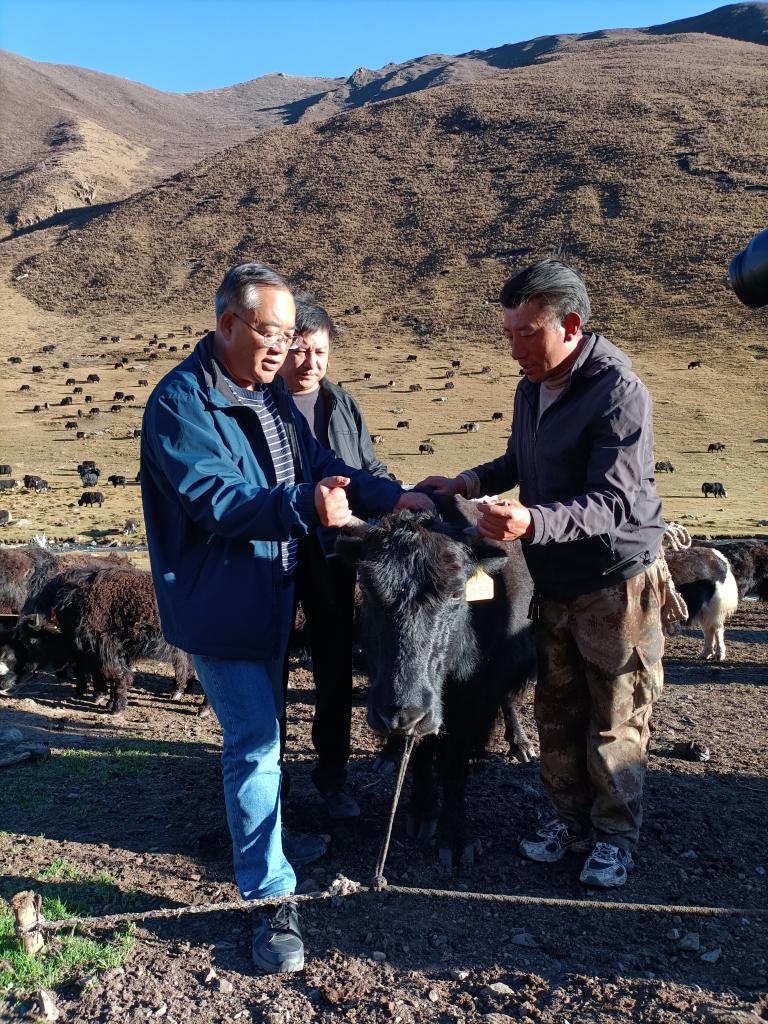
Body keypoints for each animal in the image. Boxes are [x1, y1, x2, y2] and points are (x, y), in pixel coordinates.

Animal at [337, 498, 536, 870]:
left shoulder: (471, 697)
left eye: (457, 592)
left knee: (508, 699)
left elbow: (454, 762)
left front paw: (455, 838)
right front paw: (421, 809)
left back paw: (520, 744)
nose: (400, 714)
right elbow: (419, 754)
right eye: (367, 588)